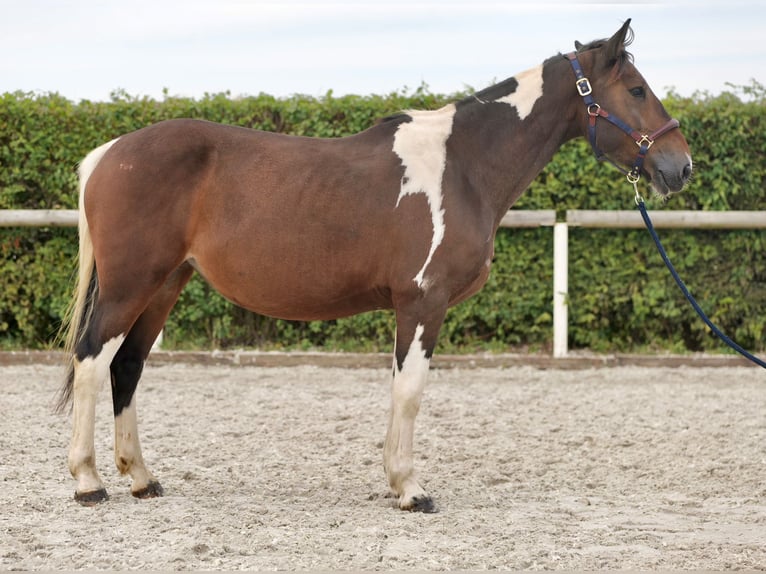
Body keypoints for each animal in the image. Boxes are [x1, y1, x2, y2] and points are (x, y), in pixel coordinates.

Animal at [58, 20, 696, 512]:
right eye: (637, 89)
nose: (680, 166)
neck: (463, 165)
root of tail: (108, 154)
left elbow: (397, 389)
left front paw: (397, 481)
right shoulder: (423, 301)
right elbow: (410, 391)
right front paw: (411, 489)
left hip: (164, 285)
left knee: (127, 367)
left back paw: (142, 479)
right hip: (130, 286)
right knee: (92, 360)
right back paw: (89, 483)